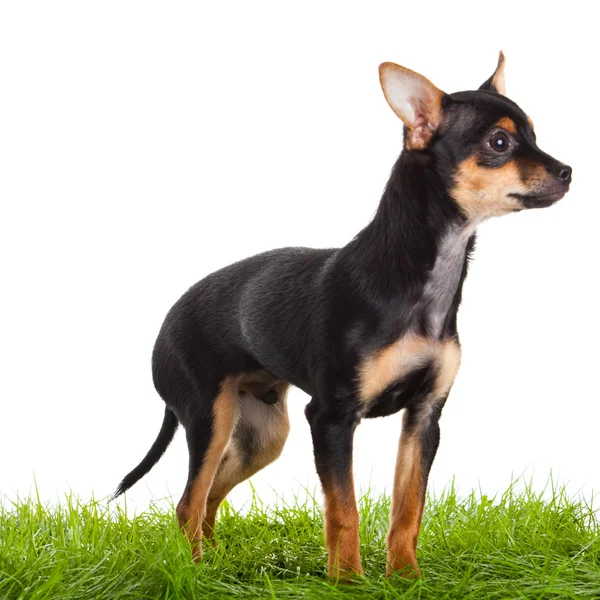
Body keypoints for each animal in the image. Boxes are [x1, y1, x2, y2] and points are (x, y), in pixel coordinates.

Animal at [111, 54, 572, 580]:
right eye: (500, 143)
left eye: (534, 134)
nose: (568, 171)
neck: (423, 282)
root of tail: (168, 317)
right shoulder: (331, 418)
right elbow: (343, 510)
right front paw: (349, 580)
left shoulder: (424, 417)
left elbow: (408, 508)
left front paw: (406, 578)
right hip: (210, 418)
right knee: (188, 502)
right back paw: (195, 574)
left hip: (262, 435)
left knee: (208, 497)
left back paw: (217, 569)